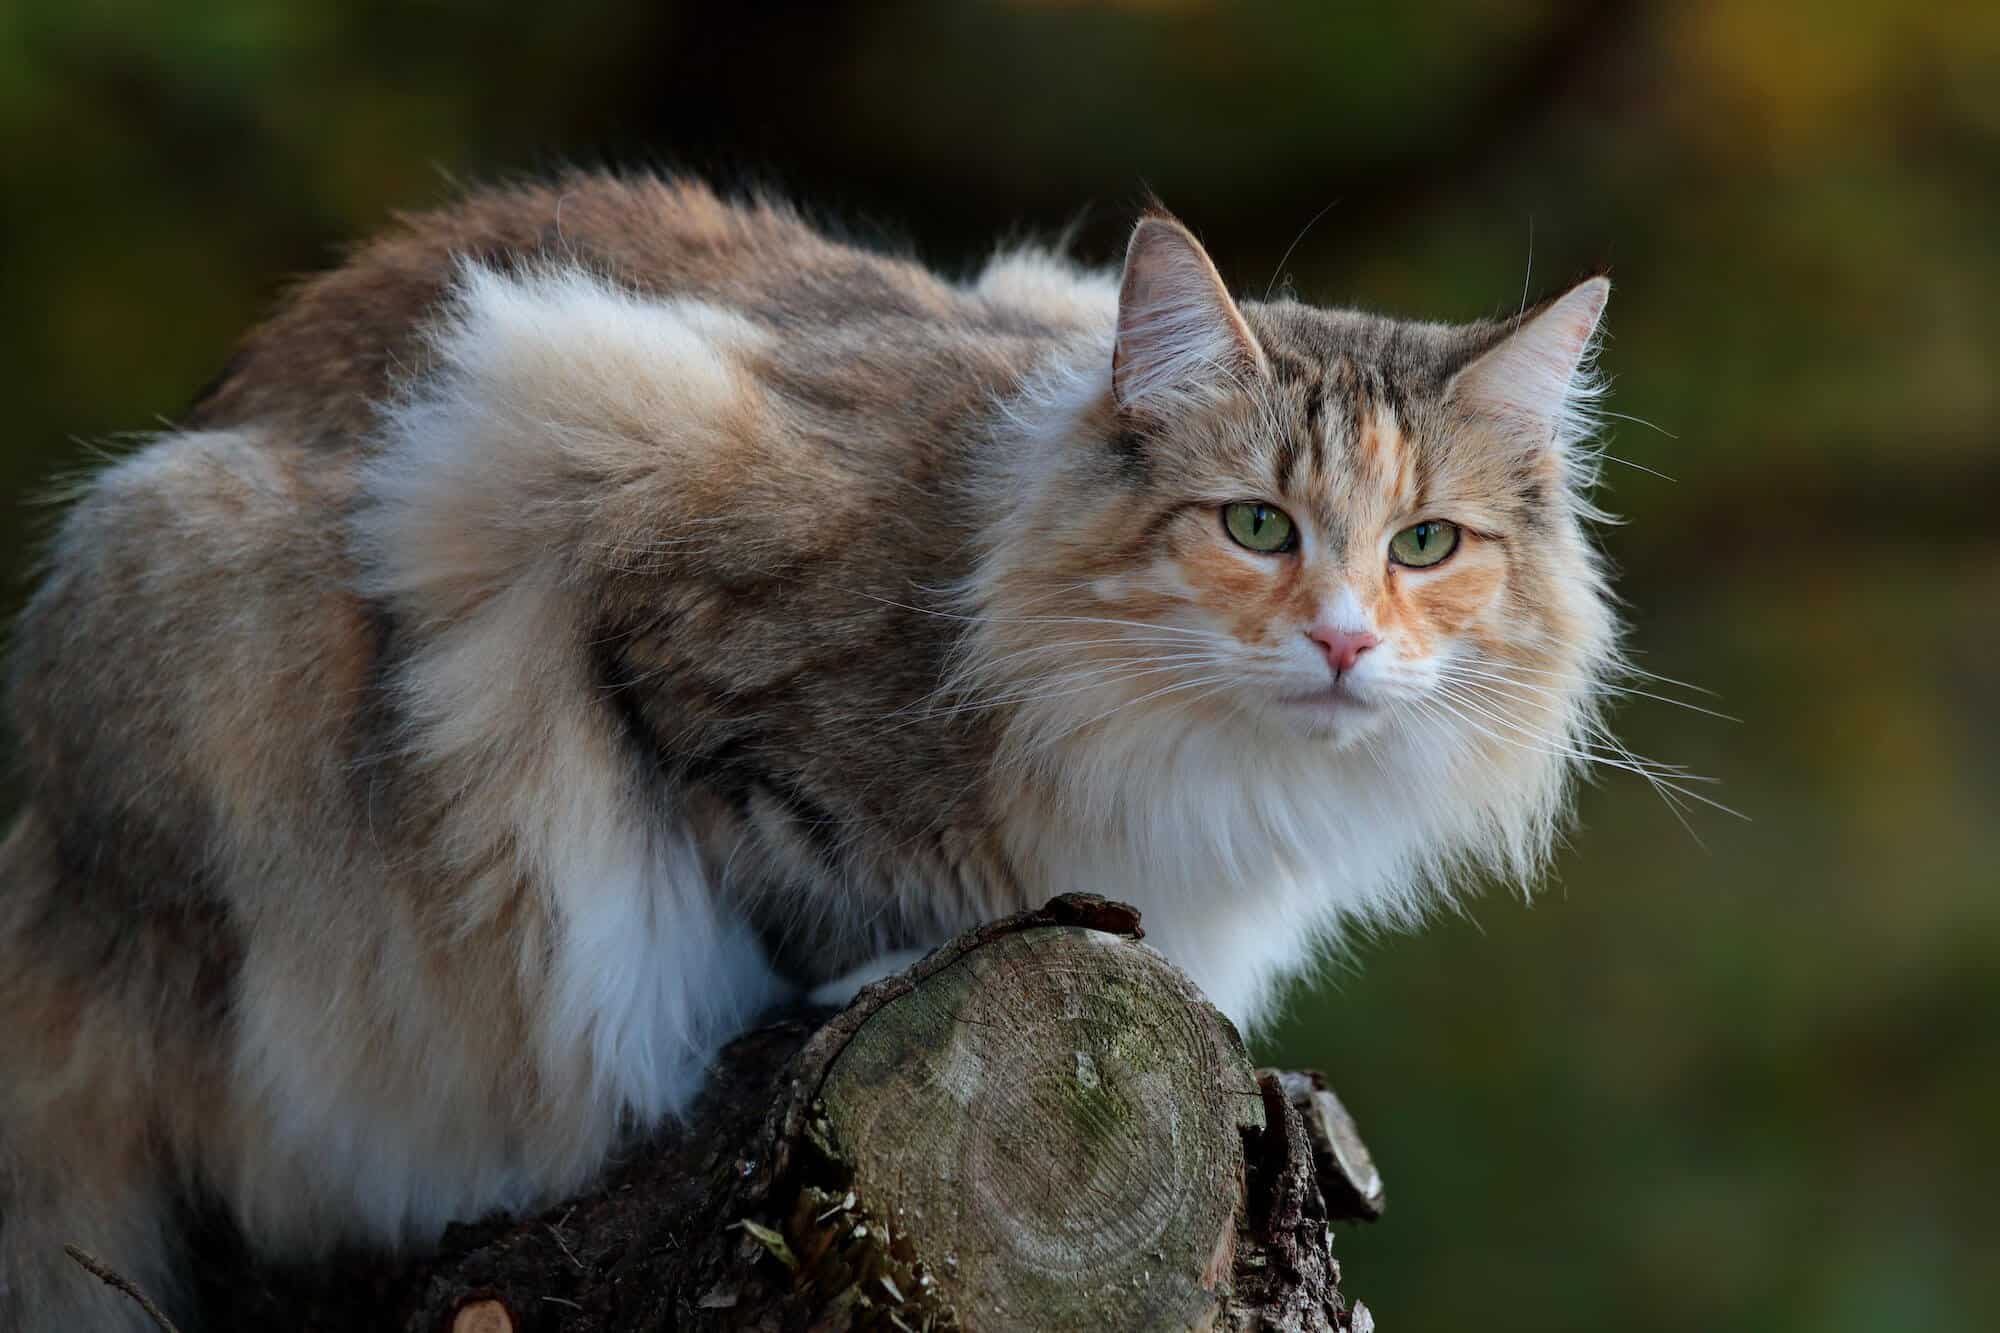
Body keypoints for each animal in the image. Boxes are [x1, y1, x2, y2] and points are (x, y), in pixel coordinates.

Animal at [0, 171, 1616, 1320]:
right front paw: (856, 978)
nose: (1345, 642)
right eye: (1259, 527)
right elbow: (783, 876)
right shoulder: (611, 517)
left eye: (1425, 545)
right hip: (193, 561)